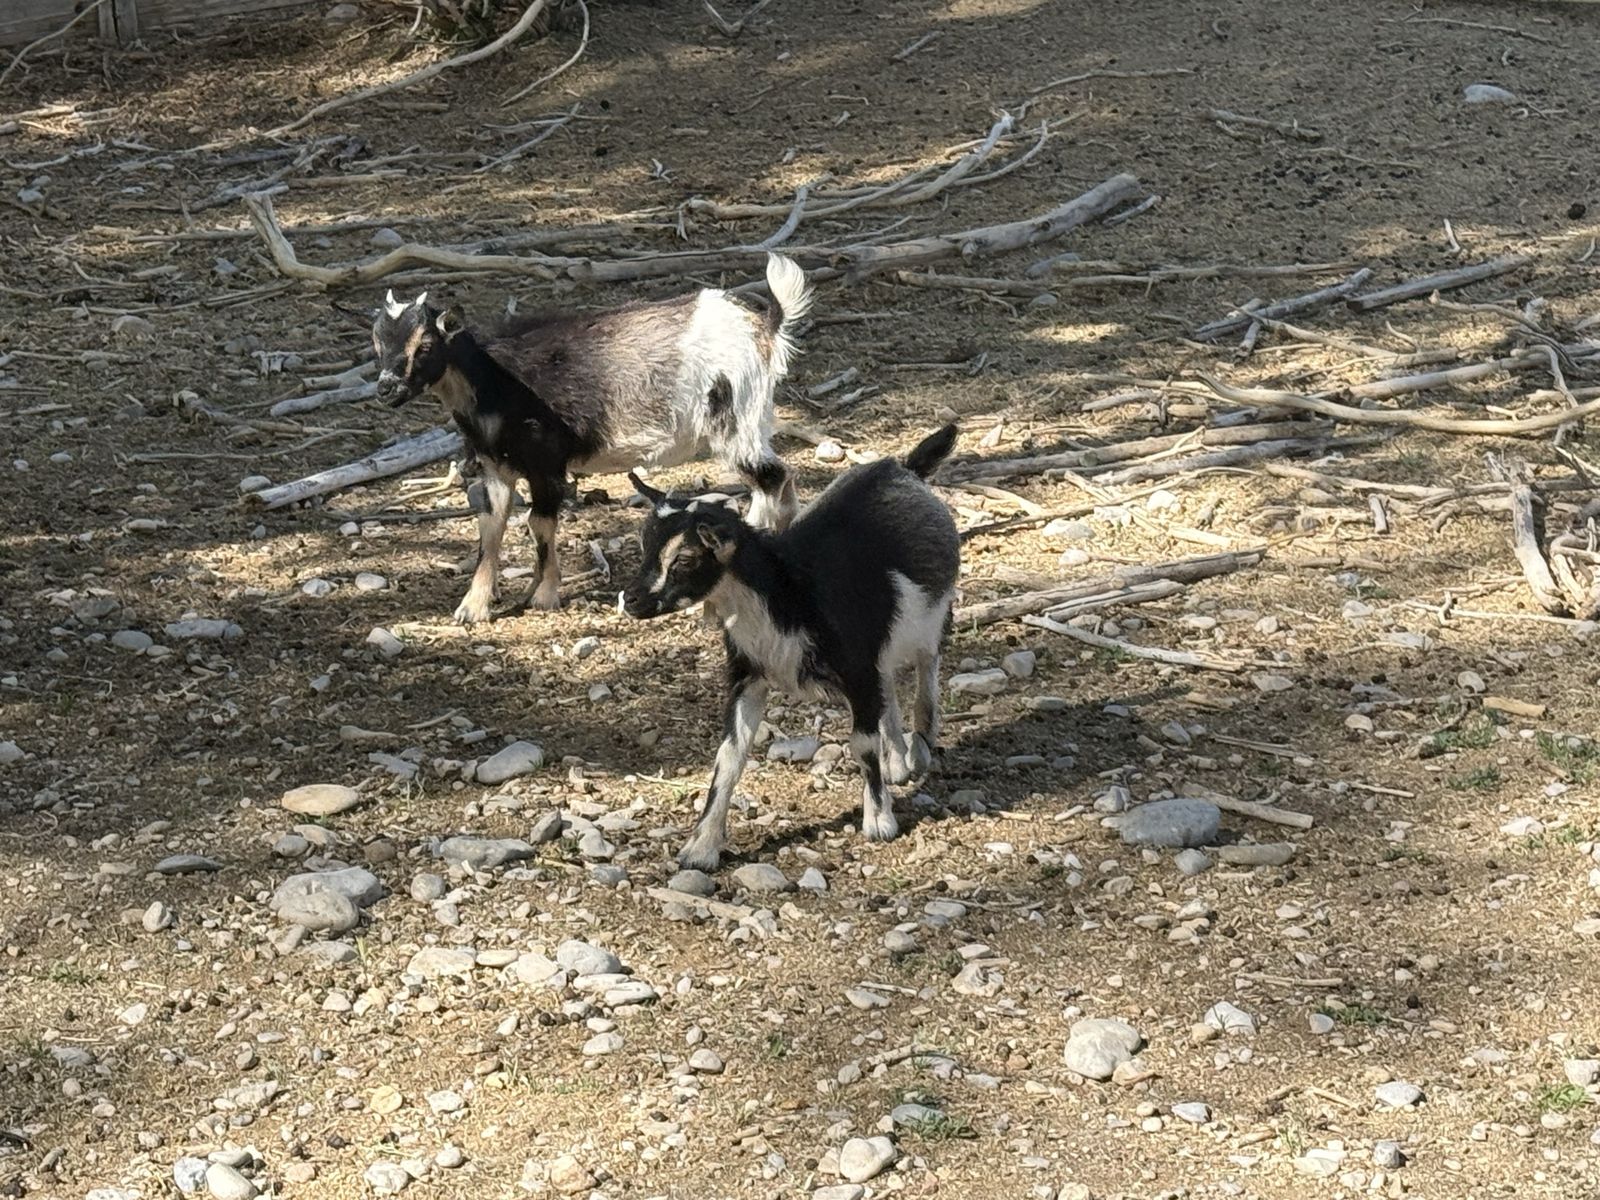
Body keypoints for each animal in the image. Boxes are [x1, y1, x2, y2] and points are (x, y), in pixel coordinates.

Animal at [369, 254, 810, 623]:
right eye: (378, 342)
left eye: (426, 345)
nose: (387, 389)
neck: (496, 382)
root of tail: (765, 326)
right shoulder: (495, 467)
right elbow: (491, 529)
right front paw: (472, 608)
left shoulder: (546, 462)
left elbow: (539, 522)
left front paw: (544, 595)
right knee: (779, 480)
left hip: (736, 420)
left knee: (771, 480)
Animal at [621, 424, 961, 871]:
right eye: (645, 546)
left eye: (685, 559)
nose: (631, 600)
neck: (792, 592)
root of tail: (903, 467)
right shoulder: (750, 675)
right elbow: (729, 757)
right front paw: (700, 848)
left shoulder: (855, 667)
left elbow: (862, 744)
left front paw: (879, 822)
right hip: (879, 652)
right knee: (888, 687)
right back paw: (898, 763)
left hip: (931, 619)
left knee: (927, 668)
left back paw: (920, 749)